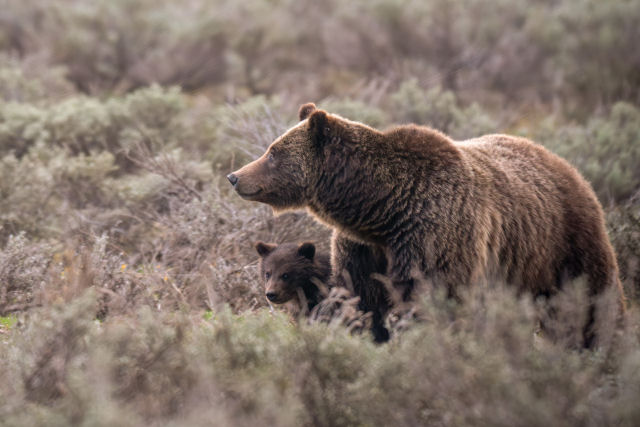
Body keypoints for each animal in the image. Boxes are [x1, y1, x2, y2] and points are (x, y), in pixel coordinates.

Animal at [229, 103, 624, 348]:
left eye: (273, 152)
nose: (235, 176)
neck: (382, 211)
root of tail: (561, 162)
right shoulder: (363, 250)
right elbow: (363, 302)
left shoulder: (434, 235)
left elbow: (434, 298)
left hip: (564, 242)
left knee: (591, 302)